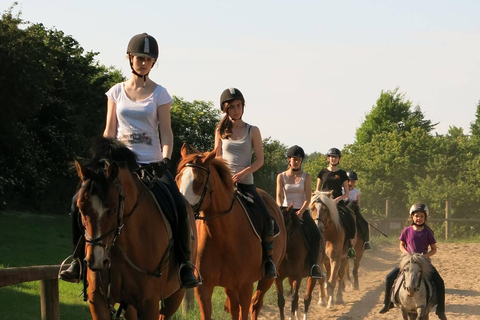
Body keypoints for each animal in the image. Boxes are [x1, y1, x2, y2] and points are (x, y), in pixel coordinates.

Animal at [75, 138, 195, 320]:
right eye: (81, 209)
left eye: (113, 209)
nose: (96, 260)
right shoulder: (98, 300)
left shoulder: (149, 303)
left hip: (175, 296)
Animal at [174, 146, 284, 320]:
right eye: (177, 179)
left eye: (199, 182)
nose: (183, 212)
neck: (223, 236)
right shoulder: (204, 287)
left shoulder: (245, 286)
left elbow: (245, 310)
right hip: (230, 286)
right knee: (235, 308)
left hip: (266, 279)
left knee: (255, 304)